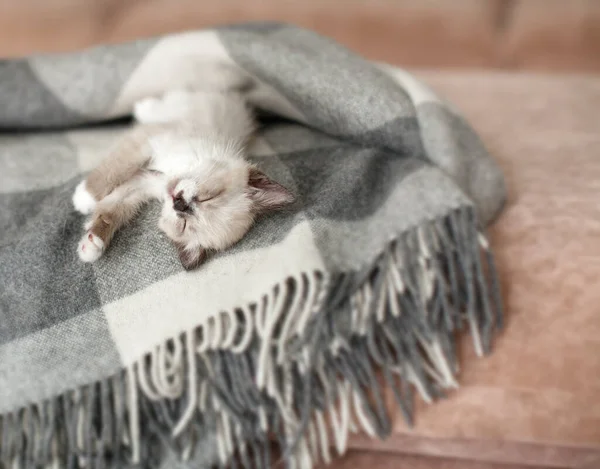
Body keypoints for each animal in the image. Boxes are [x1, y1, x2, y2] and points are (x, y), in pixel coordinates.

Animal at [72, 89, 296, 268]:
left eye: (184, 224)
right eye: (209, 197)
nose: (181, 204)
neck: (170, 174)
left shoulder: (142, 185)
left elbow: (110, 210)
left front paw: (91, 245)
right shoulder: (148, 142)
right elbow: (113, 170)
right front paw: (84, 198)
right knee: (168, 102)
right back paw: (145, 106)